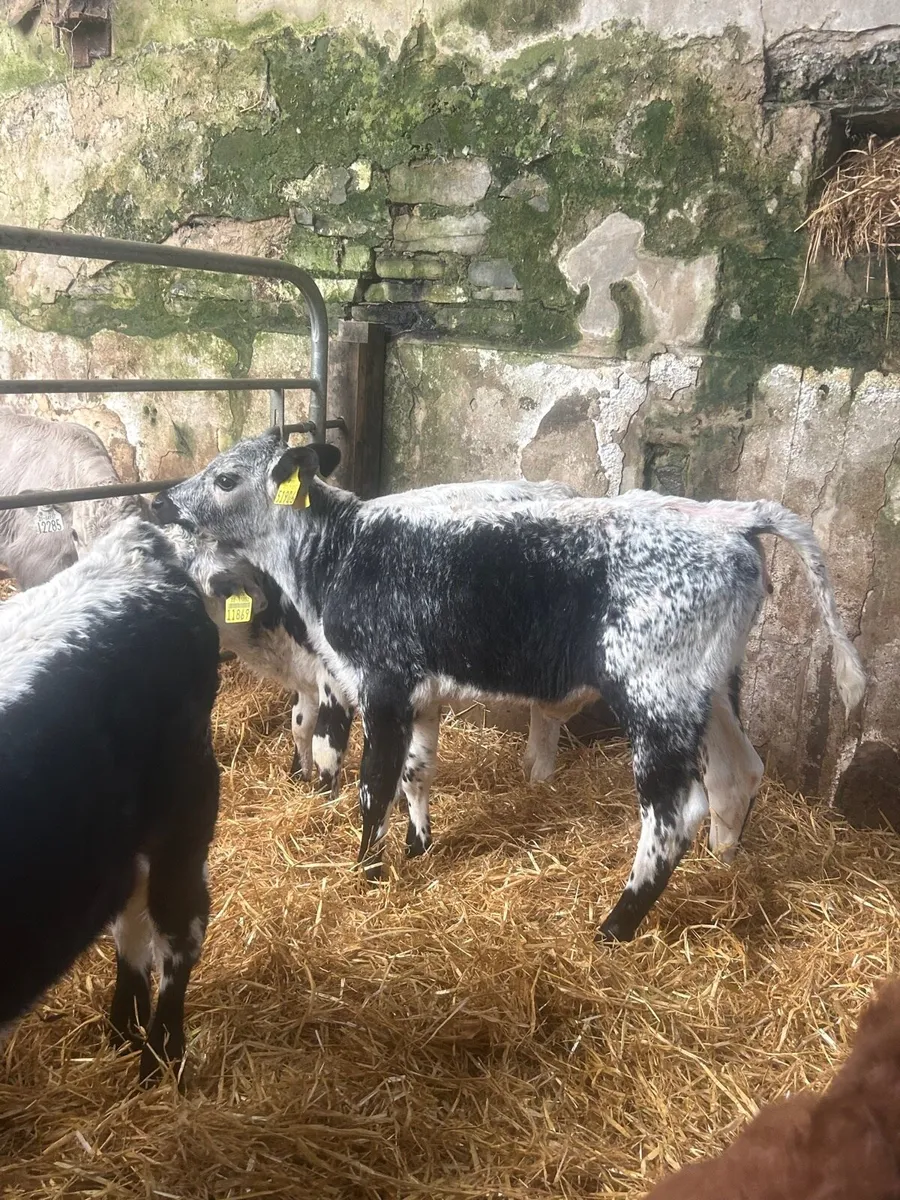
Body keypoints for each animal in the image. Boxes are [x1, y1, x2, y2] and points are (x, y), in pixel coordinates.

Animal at [0, 517, 220, 1084]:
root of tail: (133, 546)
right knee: (130, 911)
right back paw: (125, 1026)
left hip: (185, 809)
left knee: (180, 923)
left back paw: (159, 1056)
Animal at [152, 432, 865, 942]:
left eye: (225, 477)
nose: (161, 500)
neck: (338, 555)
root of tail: (728, 519)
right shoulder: (422, 696)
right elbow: (415, 771)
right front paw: (418, 848)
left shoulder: (381, 683)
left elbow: (371, 782)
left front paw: (366, 872)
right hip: (707, 690)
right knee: (736, 774)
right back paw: (725, 869)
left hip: (654, 693)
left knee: (673, 813)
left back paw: (616, 925)